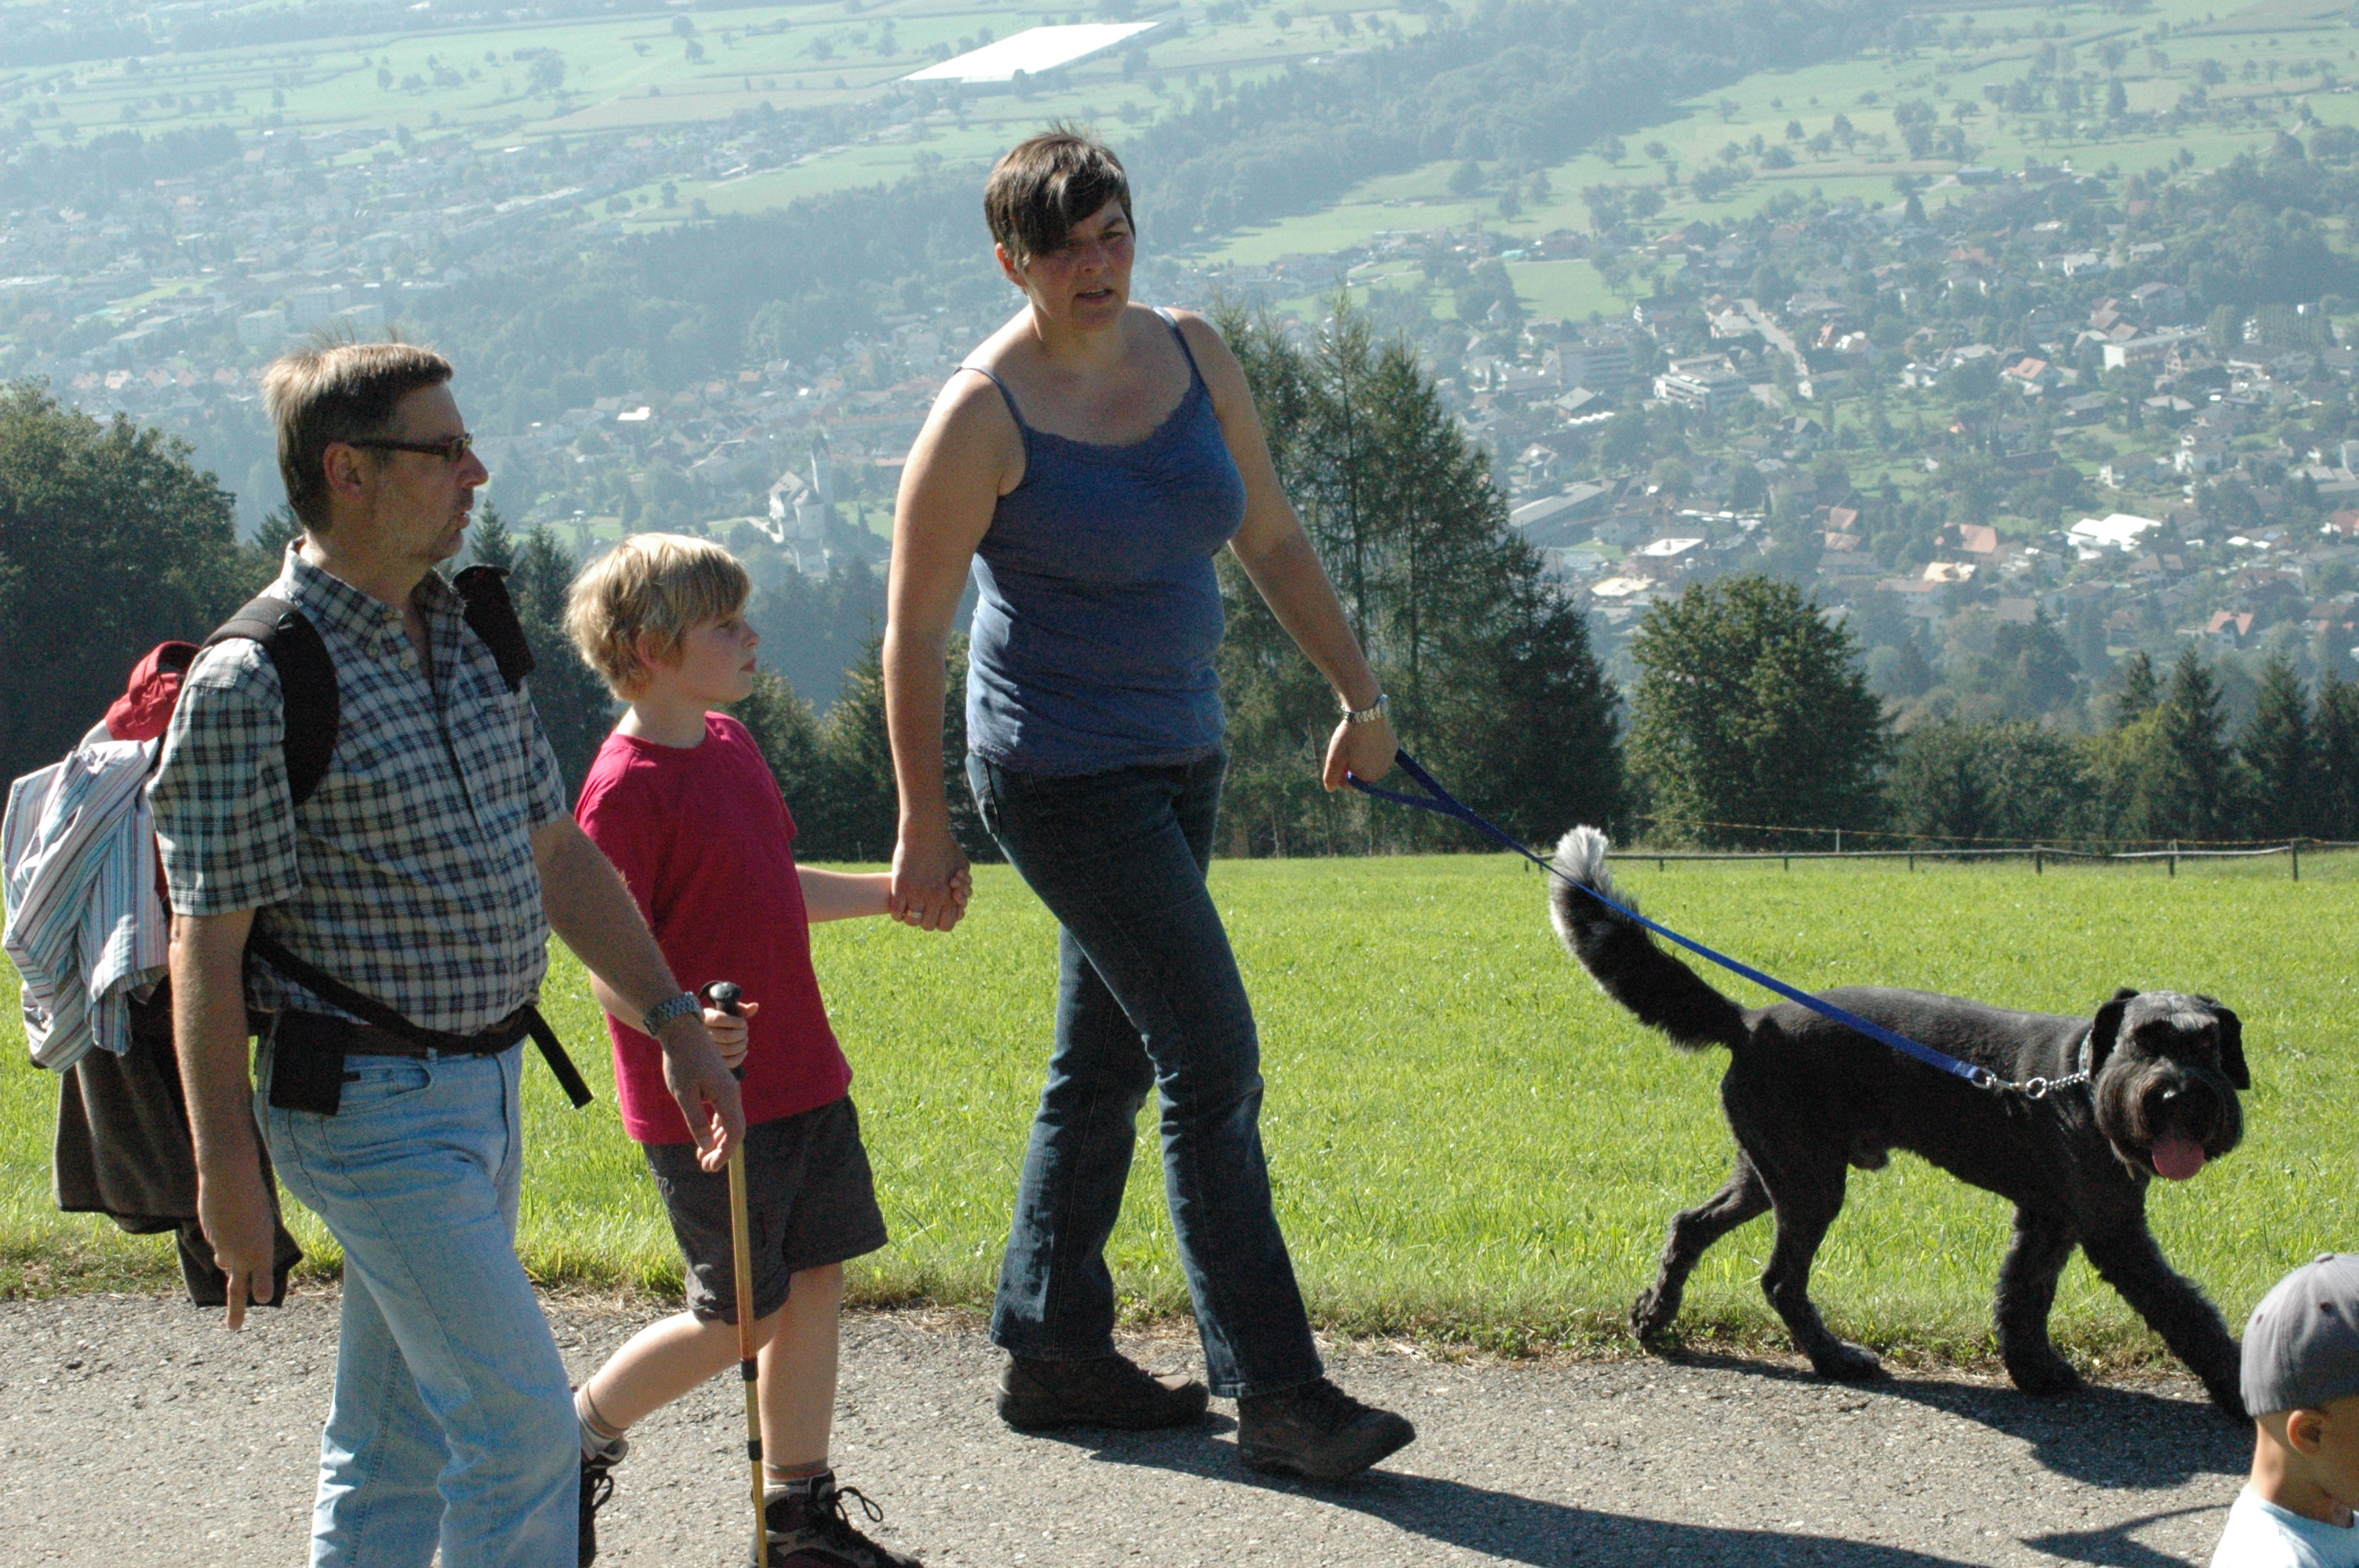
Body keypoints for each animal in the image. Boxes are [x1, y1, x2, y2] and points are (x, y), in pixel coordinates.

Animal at [1547, 827, 2250, 1417]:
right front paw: (2238, 1389)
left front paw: (2035, 1370)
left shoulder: (2048, 1219)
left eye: (2207, 1045)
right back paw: (1835, 1359)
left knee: (1690, 1226)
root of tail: (1749, 1021)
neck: (2083, 1078)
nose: (2179, 1096)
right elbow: (2183, 1308)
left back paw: (1653, 1316)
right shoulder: (2114, 1229)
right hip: (1810, 1183)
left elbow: (2023, 1296)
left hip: (1768, 1171)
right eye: (2143, 1043)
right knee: (1780, 1280)